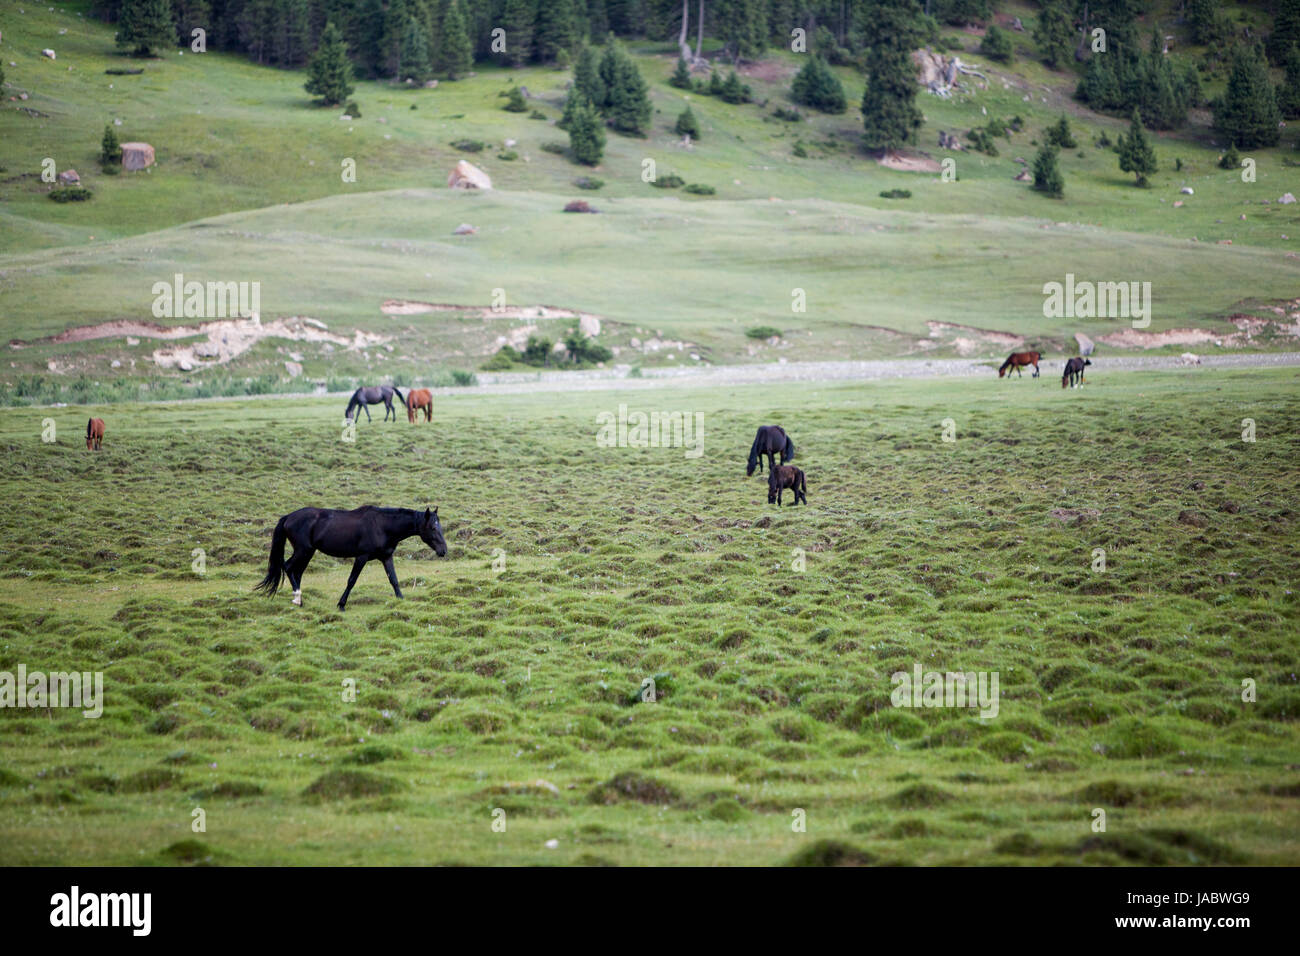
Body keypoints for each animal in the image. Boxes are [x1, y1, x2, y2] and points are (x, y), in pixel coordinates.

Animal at [255, 506, 447, 610]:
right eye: (432, 527)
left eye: (440, 526)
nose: (443, 551)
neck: (382, 525)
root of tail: (288, 517)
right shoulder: (361, 557)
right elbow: (352, 580)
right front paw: (341, 604)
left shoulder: (386, 557)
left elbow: (393, 579)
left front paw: (401, 600)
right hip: (303, 550)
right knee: (288, 567)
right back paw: (297, 598)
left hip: (307, 552)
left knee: (297, 572)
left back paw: (300, 600)